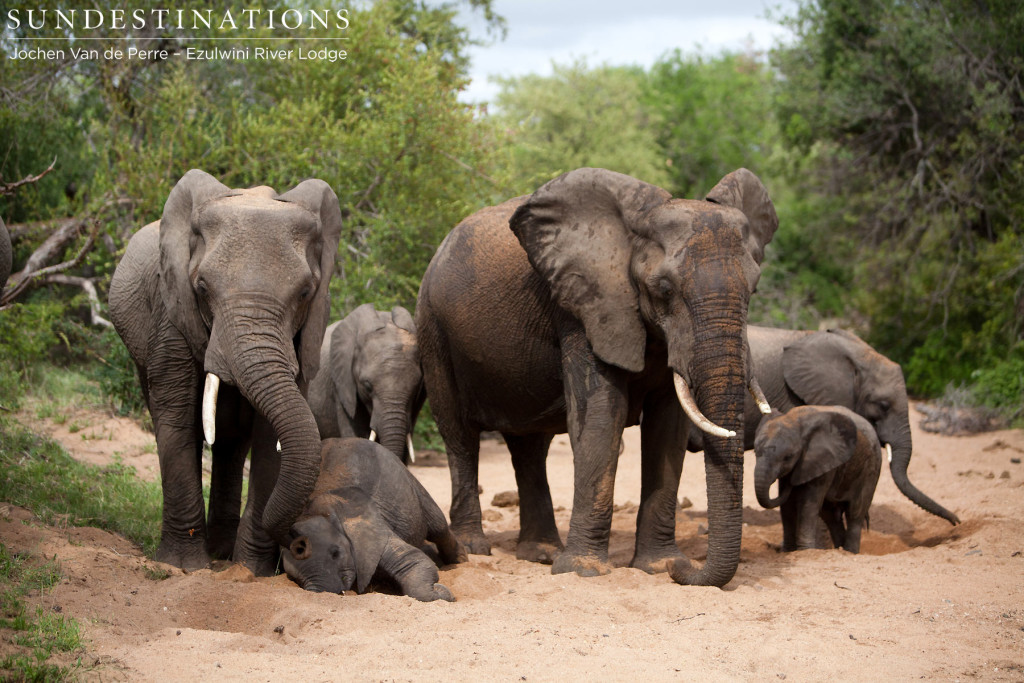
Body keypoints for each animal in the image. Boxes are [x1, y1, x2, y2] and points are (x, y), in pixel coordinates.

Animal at [108, 167, 342, 573]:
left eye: (305, 293)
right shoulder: (172, 312)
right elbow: (177, 416)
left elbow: (270, 437)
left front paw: (251, 572)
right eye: (202, 287)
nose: (296, 542)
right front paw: (184, 567)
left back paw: (223, 550)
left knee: (232, 443)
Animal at [284, 438, 468, 602]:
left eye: (336, 554)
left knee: (439, 527)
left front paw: (443, 593)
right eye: (293, 576)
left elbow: (415, 560)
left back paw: (461, 560)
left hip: (414, 486)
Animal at [415, 166, 774, 589]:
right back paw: (474, 550)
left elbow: (667, 429)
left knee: (528, 447)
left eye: (754, 288)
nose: (685, 570)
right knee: (460, 437)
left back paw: (540, 553)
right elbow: (602, 415)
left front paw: (658, 566)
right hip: (433, 329)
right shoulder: (583, 305)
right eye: (664, 289)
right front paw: (584, 571)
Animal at [749, 405, 884, 557]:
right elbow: (787, 506)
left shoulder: (823, 460)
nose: (792, 483)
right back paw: (840, 550)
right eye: (755, 452)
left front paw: (805, 551)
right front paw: (788, 551)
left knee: (855, 512)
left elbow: (809, 504)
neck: (794, 420)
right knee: (830, 516)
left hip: (871, 468)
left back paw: (850, 552)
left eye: (788, 457)